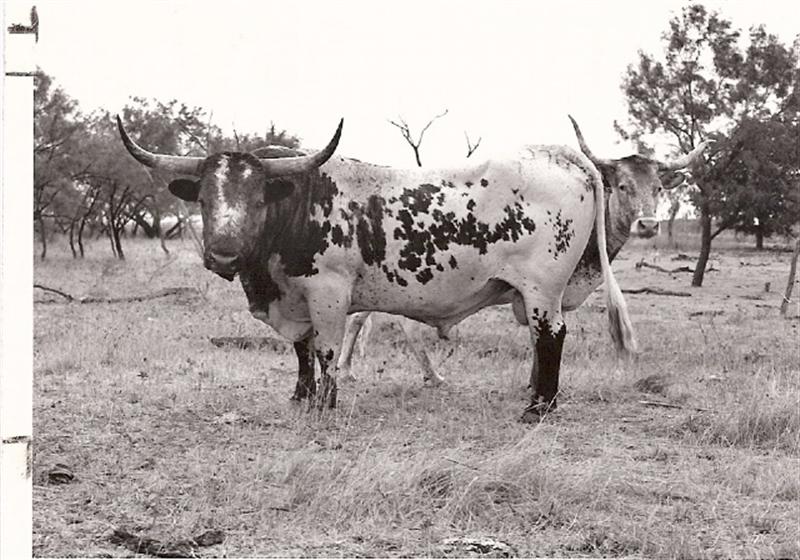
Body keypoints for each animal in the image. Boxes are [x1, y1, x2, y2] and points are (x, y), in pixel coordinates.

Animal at [119, 115, 650, 423]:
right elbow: (301, 350)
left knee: (551, 336)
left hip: (542, 289)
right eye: (206, 199)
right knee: (542, 341)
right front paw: (299, 396)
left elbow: (327, 351)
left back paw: (538, 408)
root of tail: (562, 156)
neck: (299, 206)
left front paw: (324, 407)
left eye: (256, 199)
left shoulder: (329, 294)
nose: (224, 255)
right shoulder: (296, 297)